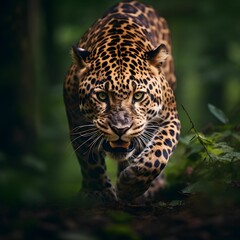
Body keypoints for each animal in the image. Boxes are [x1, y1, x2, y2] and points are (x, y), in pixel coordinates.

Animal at [63, 0, 180, 203]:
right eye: (102, 96)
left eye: (138, 96)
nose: (120, 129)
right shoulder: (78, 125)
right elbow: (90, 162)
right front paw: (99, 193)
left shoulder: (170, 118)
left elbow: (160, 151)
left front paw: (131, 185)